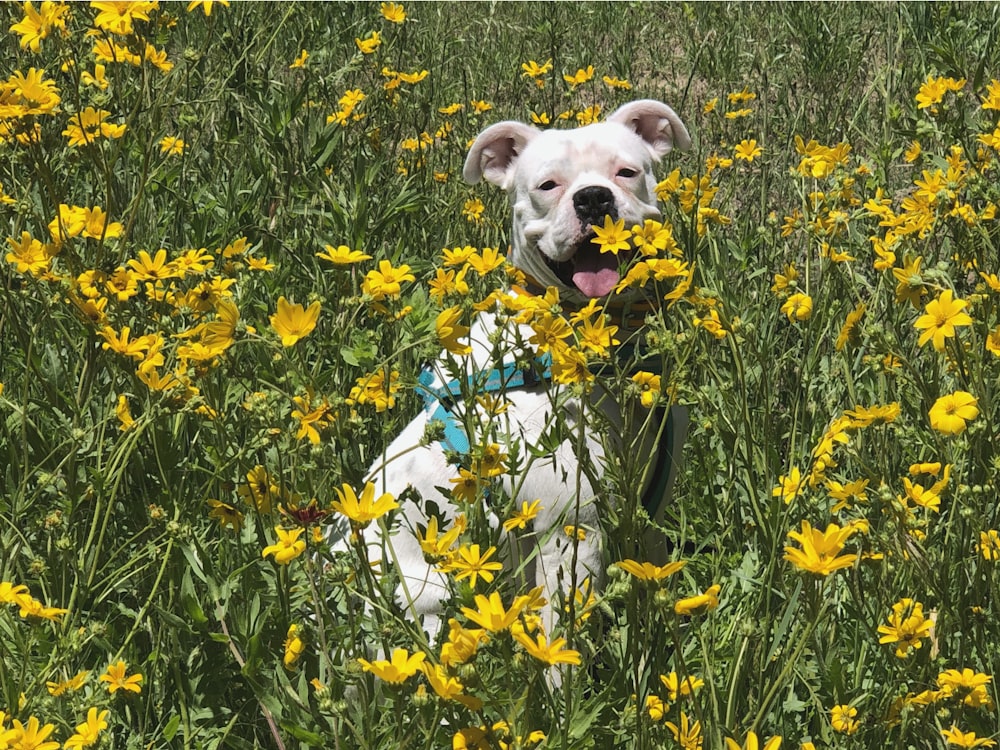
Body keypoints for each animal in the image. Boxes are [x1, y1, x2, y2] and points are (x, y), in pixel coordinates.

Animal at [364, 98, 692, 640]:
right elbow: (563, 635)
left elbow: (653, 581)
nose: (594, 199)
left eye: (627, 172)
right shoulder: (572, 532)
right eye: (547, 185)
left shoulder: (648, 515)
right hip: (432, 605)